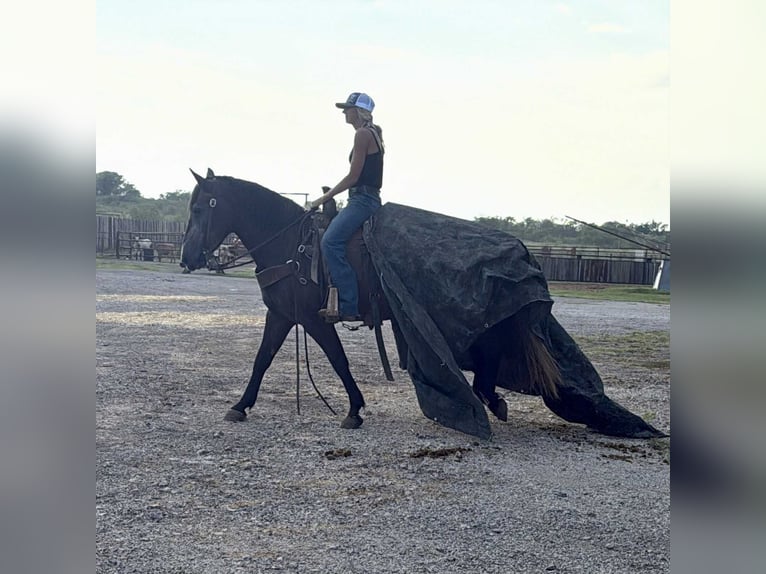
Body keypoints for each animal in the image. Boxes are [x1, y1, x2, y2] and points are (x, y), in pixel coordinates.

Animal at [180, 169, 563, 434]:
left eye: (199, 208)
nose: (187, 258)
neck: (290, 246)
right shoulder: (282, 315)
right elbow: (262, 360)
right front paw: (241, 405)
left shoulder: (313, 318)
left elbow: (338, 360)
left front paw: (354, 410)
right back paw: (490, 397)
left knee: (489, 346)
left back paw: (489, 397)